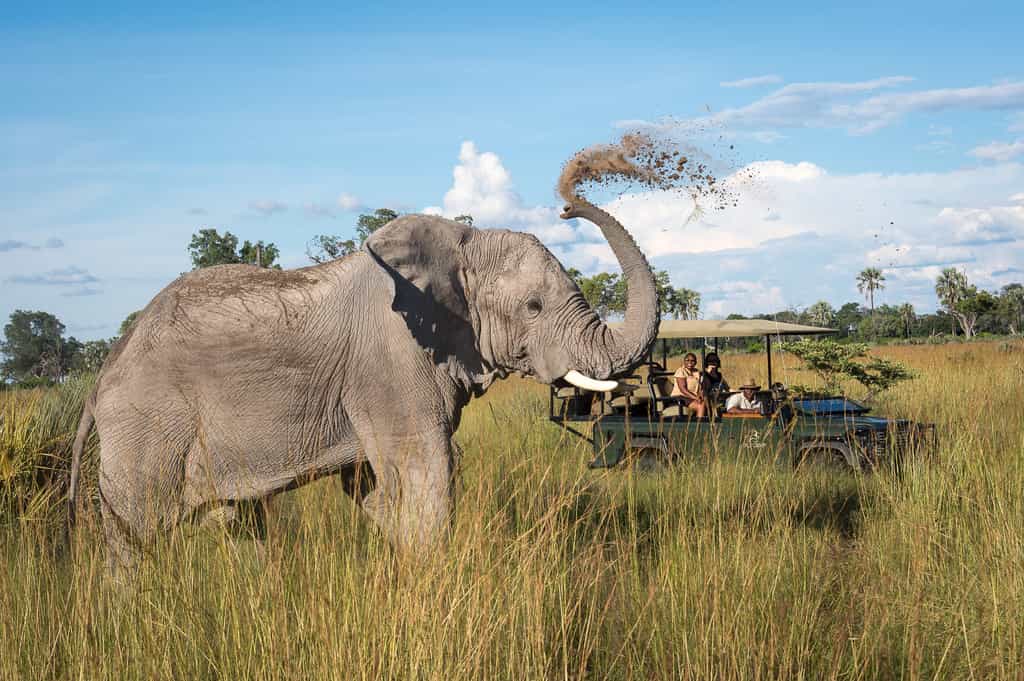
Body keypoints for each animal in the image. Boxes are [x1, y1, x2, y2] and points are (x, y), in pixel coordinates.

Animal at [67, 197, 659, 577]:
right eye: (533, 307)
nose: (567, 207)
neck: (460, 244)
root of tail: (101, 378)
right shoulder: (392, 362)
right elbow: (427, 471)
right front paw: (431, 585)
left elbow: (374, 489)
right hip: (146, 428)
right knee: (136, 532)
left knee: (237, 523)